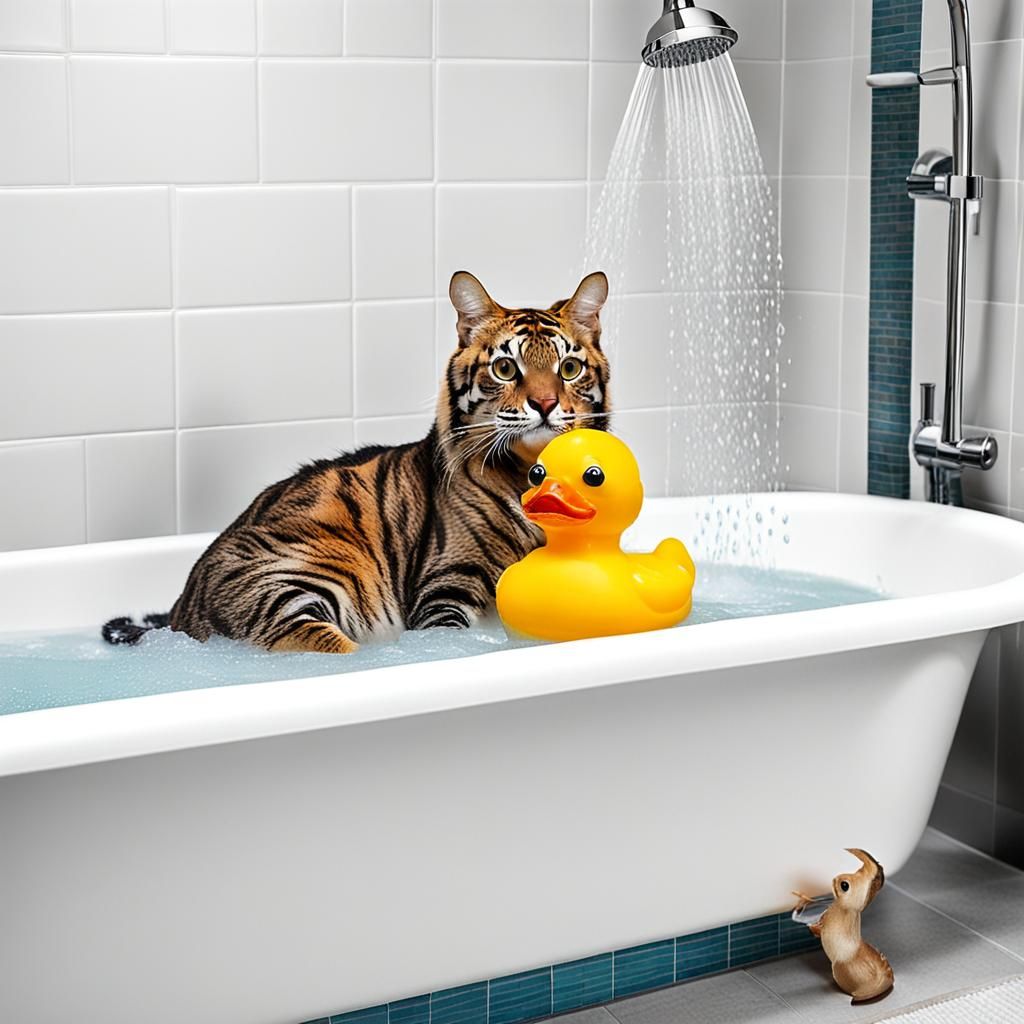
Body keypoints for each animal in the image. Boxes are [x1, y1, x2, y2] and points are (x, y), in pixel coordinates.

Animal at [102, 271, 611, 654]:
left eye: (569, 368)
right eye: (506, 368)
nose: (545, 404)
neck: (528, 469)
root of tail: (179, 609)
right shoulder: (445, 587)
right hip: (288, 580)